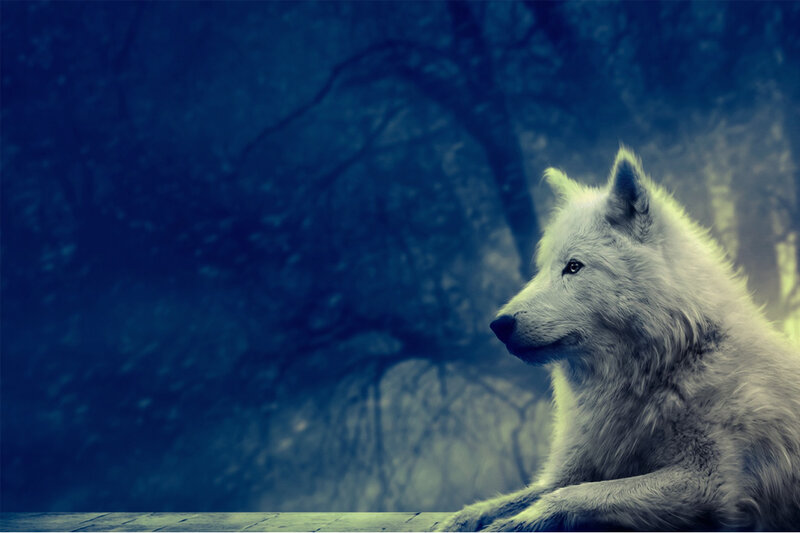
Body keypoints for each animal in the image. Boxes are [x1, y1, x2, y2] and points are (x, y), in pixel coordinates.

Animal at [438, 148, 800, 531]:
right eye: (543, 269)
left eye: (573, 267)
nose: (498, 325)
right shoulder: (570, 470)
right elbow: (513, 498)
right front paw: (460, 520)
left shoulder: (710, 481)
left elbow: (570, 496)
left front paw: (513, 523)